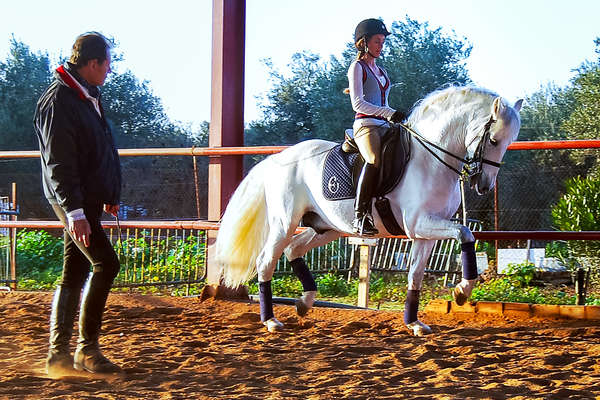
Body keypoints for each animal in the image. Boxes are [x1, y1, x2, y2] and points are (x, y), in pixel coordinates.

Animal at [214, 86, 520, 334]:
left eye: (508, 143)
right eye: (493, 140)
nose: (483, 185)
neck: (432, 159)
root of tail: (278, 158)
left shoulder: (426, 233)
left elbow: (416, 274)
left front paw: (414, 323)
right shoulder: (419, 224)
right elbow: (466, 233)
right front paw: (461, 291)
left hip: (326, 227)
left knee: (294, 249)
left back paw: (304, 302)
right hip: (284, 223)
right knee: (266, 260)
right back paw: (270, 320)